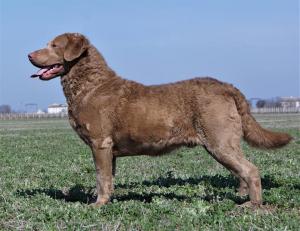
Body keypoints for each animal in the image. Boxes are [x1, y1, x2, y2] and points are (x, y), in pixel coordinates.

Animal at [28, 32, 290, 208]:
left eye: (54, 45)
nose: (29, 54)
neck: (90, 85)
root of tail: (226, 86)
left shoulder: (100, 142)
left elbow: (101, 176)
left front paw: (97, 205)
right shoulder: (109, 150)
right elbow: (109, 178)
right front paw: (106, 200)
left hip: (219, 141)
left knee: (251, 169)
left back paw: (252, 206)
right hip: (226, 143)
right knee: (243, 170)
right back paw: (243, 196)